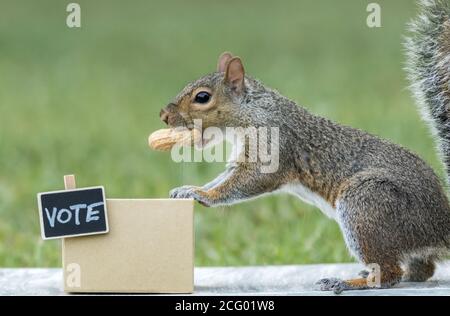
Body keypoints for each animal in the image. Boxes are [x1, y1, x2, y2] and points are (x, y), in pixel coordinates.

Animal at [159, 0, 450, 292]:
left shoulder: (272, 144)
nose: (164, 115)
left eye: (202, 97)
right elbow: (225, 177)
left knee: (389, 273)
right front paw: (188, 189)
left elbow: (249, 180)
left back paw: (347, 282)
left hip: (366, 205)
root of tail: (440, 223)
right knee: (421, 268)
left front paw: (204, 195)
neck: (251, 112)